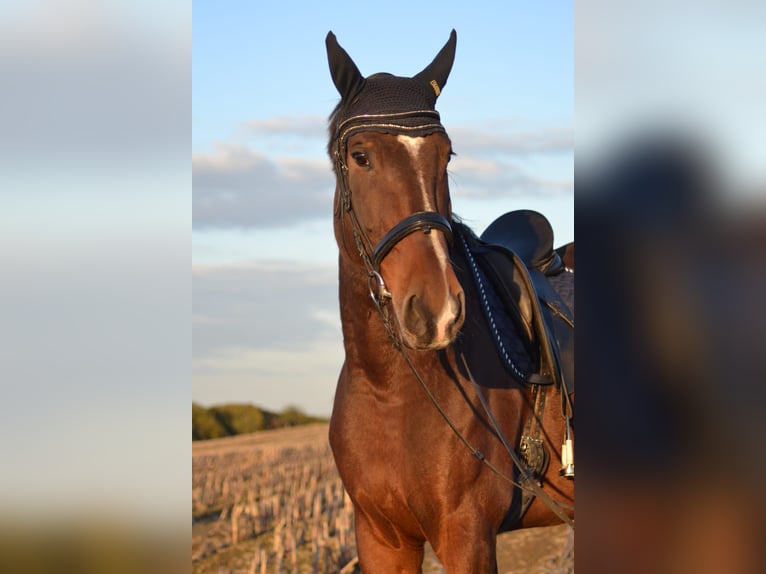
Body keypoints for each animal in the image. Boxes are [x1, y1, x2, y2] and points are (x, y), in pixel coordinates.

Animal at [326, 30, 576, 572]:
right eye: (360, 156)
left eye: (446, 156)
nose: (436, 310)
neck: (388, 389)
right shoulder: (381, 539)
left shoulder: (466, 536)